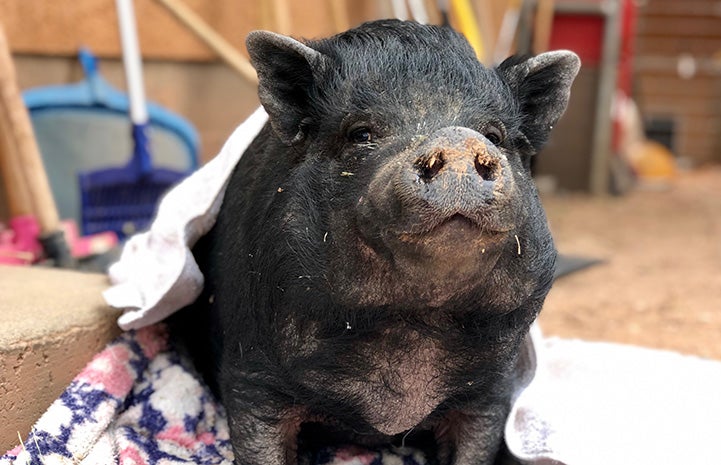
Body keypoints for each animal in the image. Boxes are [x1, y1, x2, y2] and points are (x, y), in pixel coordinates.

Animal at [170, 19, 579, 465]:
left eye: (494, 134)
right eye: (360, 133)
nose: (457, 138)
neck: (414, 319)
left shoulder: (490, 392)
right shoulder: (251, 375)